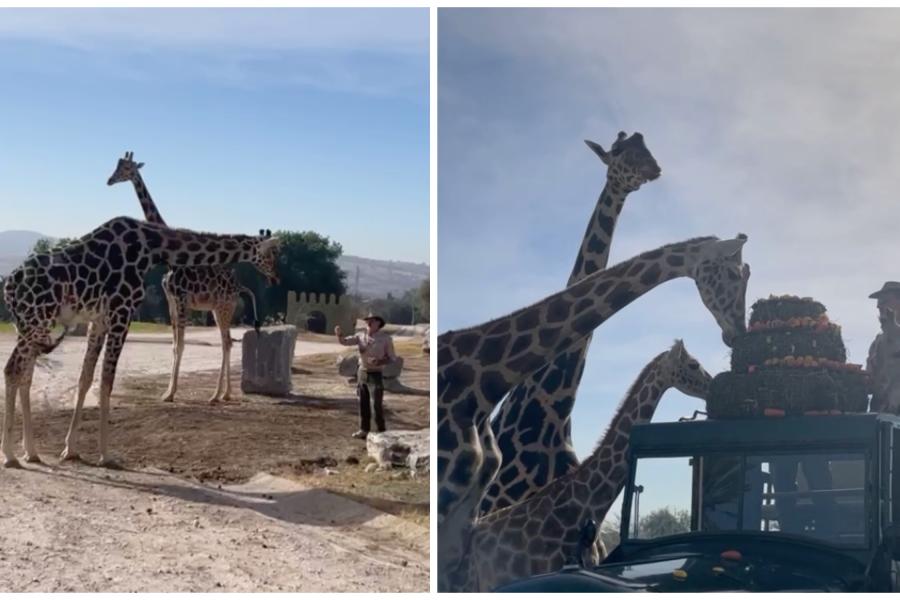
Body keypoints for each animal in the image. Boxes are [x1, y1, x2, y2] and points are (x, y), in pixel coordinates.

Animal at [1, 217, 282, 468]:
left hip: (31, 324)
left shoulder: (99, 320)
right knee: (12, 368)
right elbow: (106, 381)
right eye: (271, 254)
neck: (152, 249)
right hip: (37, 320)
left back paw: (31, 452)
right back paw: (11, 456)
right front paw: (106, 455)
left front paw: (70, 449)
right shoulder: (122, 312)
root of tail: (9, 288)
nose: (276, 278)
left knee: (24, 375)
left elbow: (86, 378)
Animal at [104, 155, 278, 406]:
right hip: (217, 309)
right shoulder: (171, 301)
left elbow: (182, 345)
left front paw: (171, 394)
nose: (109, 180)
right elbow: (174, 345)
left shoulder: (182, 299)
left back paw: (216, 395)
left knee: (226, 342)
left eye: (126, 168)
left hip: (224, 308)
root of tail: (240, 287)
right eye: (117, 165)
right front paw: (166, 392)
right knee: (227, 342)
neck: (171, 261)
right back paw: (224, 394)